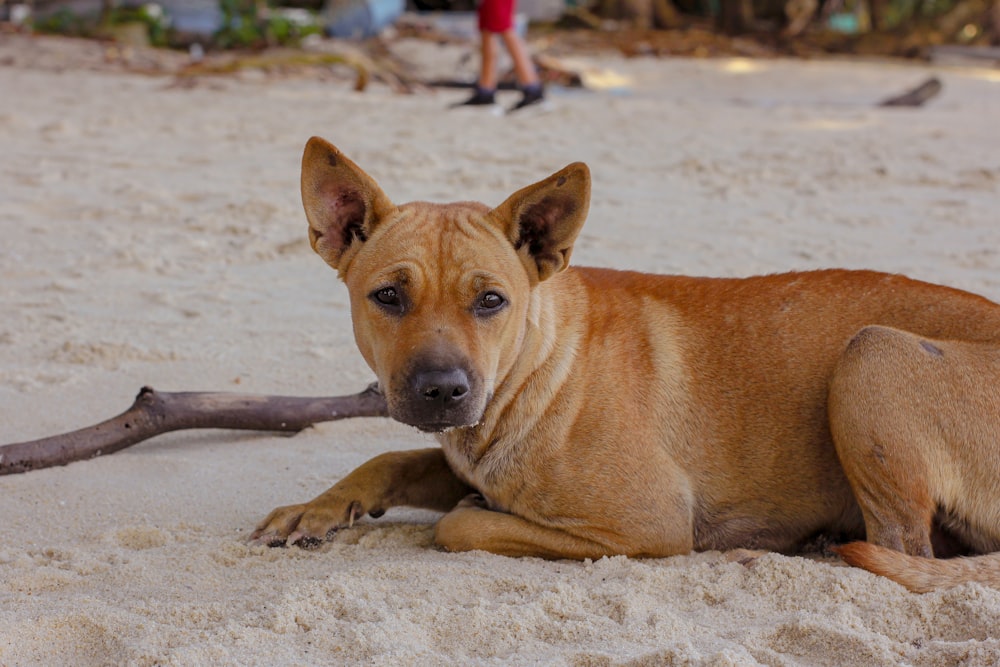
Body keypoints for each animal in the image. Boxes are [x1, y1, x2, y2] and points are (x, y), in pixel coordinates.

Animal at [252, 134, 1000, 588]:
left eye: (491, 300)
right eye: (388, 296)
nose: (443, 390)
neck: (535, 368)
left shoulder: (646, 521)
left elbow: (460, 522)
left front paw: (469, 506)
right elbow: (391, 459)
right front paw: (318, 508)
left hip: (871, 351)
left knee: (904, 549)